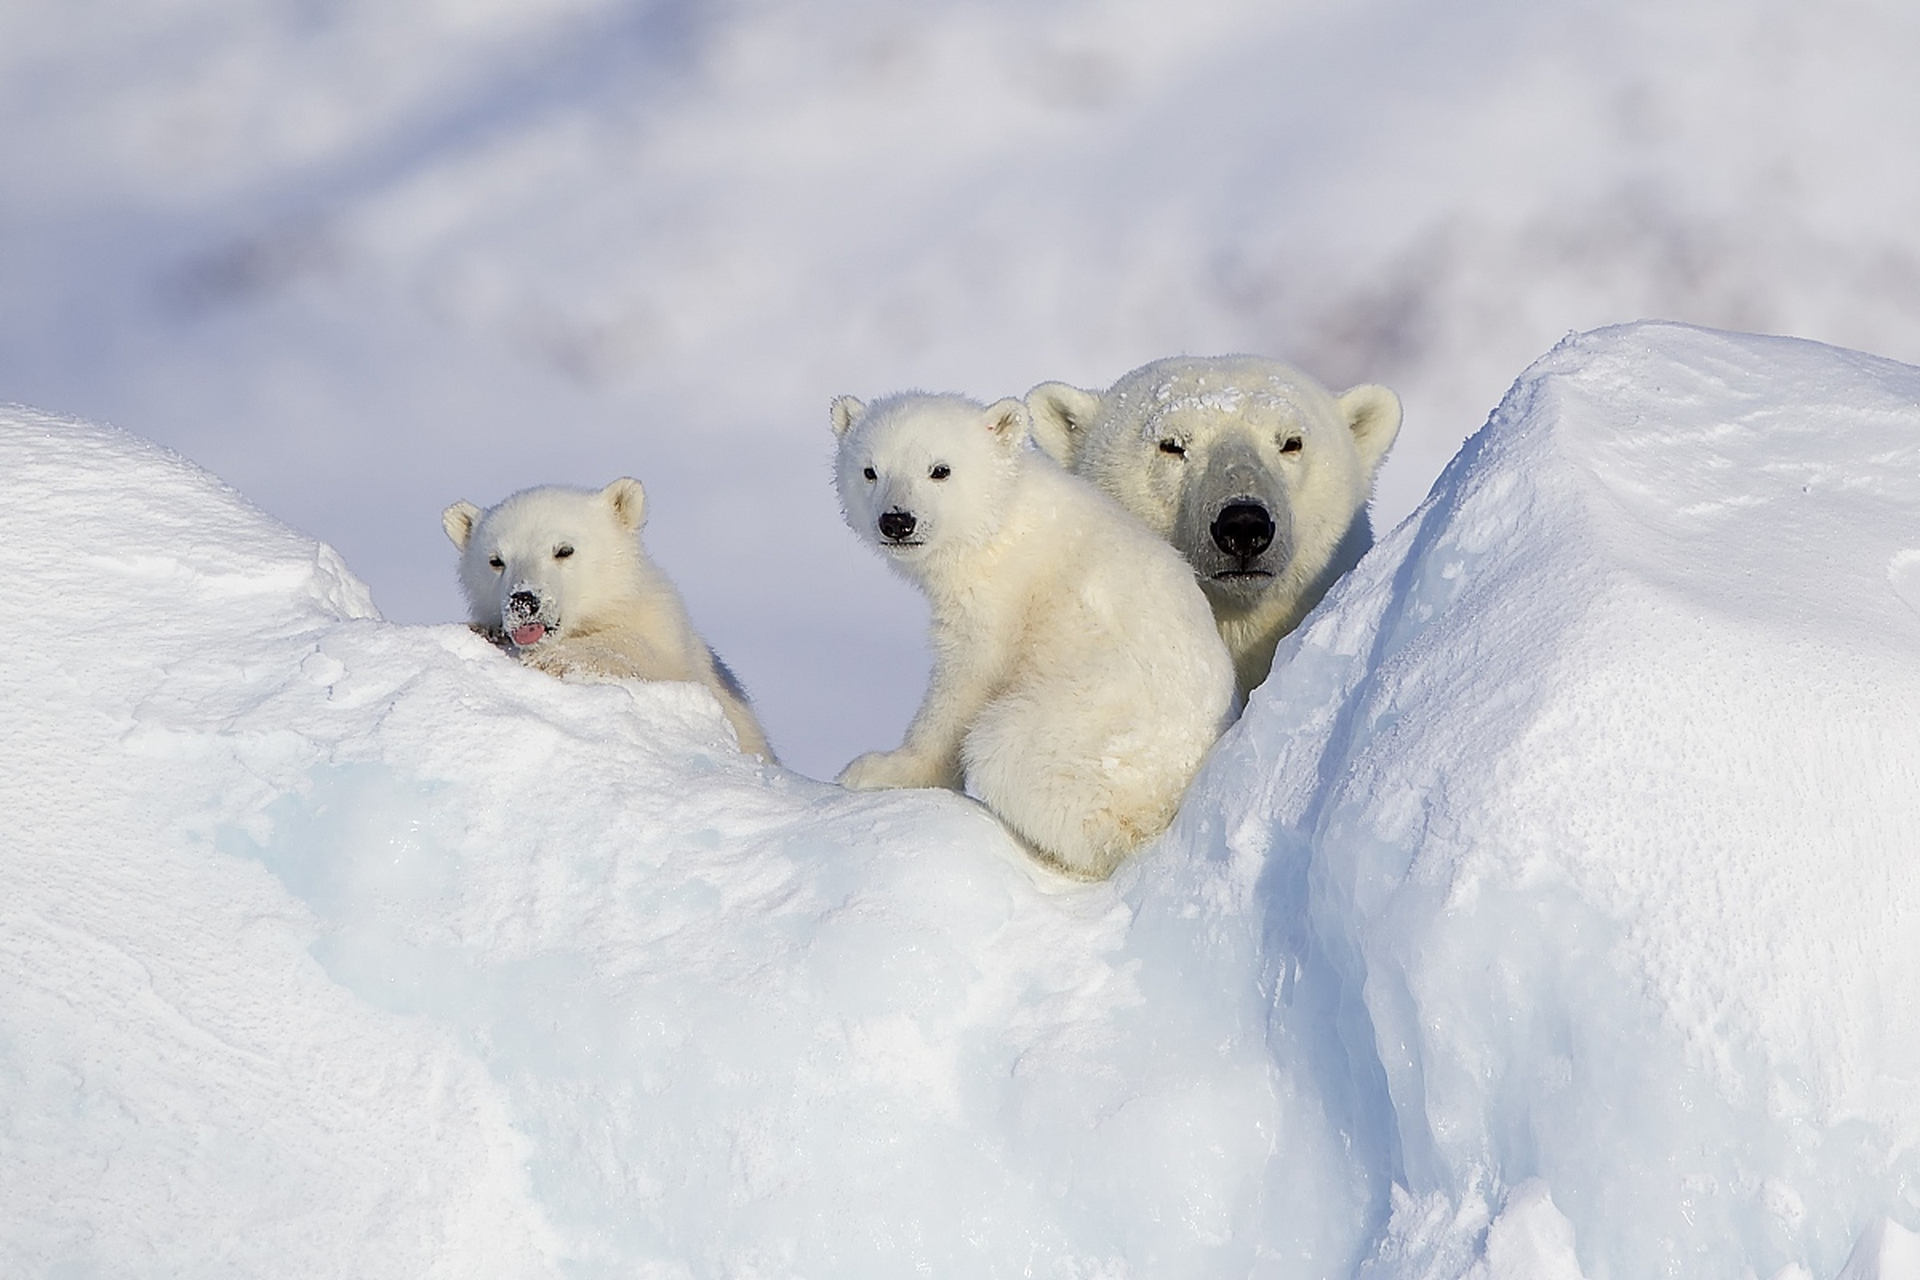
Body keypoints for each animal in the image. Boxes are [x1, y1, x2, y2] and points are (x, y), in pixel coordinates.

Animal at [445, 477, 775, 759]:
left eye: (564, 550)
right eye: (496, 560)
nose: (523, 600)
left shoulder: (670, 641)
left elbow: (646, 656)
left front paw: (555, 658)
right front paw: (485, 632)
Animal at [833, 387, 1236, 882]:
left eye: (940, 469)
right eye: (870, 470)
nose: (897, 521)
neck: (1000, 520)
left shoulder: (1000, 594)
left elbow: (967, 677)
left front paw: (882, 768)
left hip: (1089, 725)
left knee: (1011, 753)